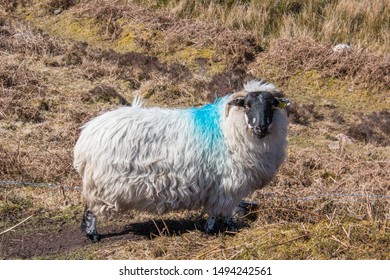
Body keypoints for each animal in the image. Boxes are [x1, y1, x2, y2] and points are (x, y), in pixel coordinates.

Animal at [74, 80, 290, 242]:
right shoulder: (229, 184)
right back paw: (93, 235)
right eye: (247, 105)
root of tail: (86, 136)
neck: (229, 129)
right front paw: (223, 229)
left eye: (272, 105)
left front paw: (216, 229)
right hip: (100, 184)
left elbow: (219, 210)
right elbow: (224, 210)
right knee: (90, 209)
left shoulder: (221, 186)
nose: (261, 127)